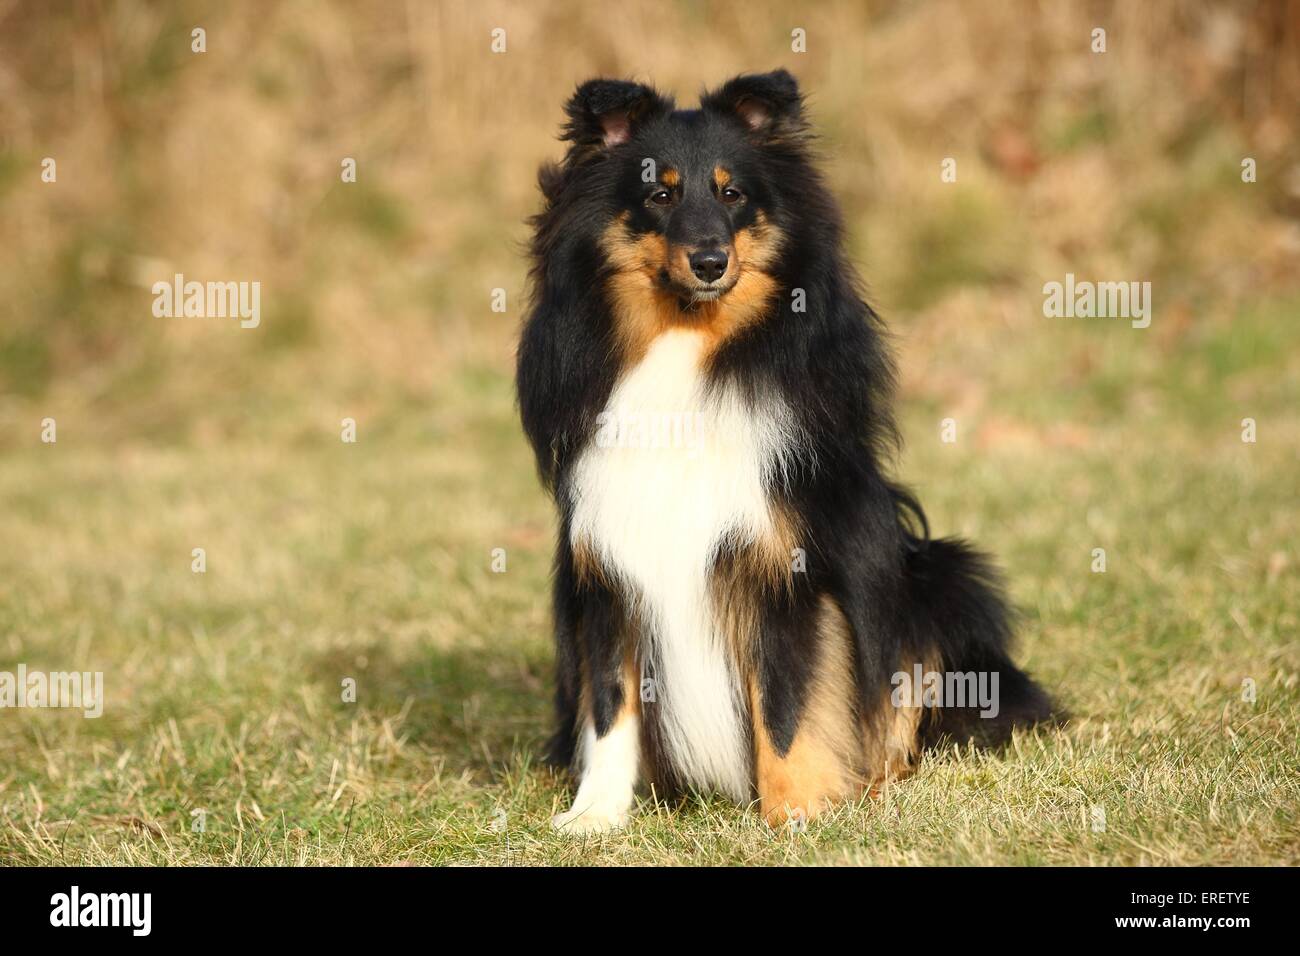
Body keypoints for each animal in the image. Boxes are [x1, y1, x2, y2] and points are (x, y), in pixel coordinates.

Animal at [512, 69, 1050, 832]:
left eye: (734, 193)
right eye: (659, 195)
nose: (710, 262)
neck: (688, 343)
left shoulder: (784, 568)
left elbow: (787, 702)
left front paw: (795, 814)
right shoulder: (607, 567)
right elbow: (611, 704)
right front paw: (594, 816)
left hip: (942, 575)